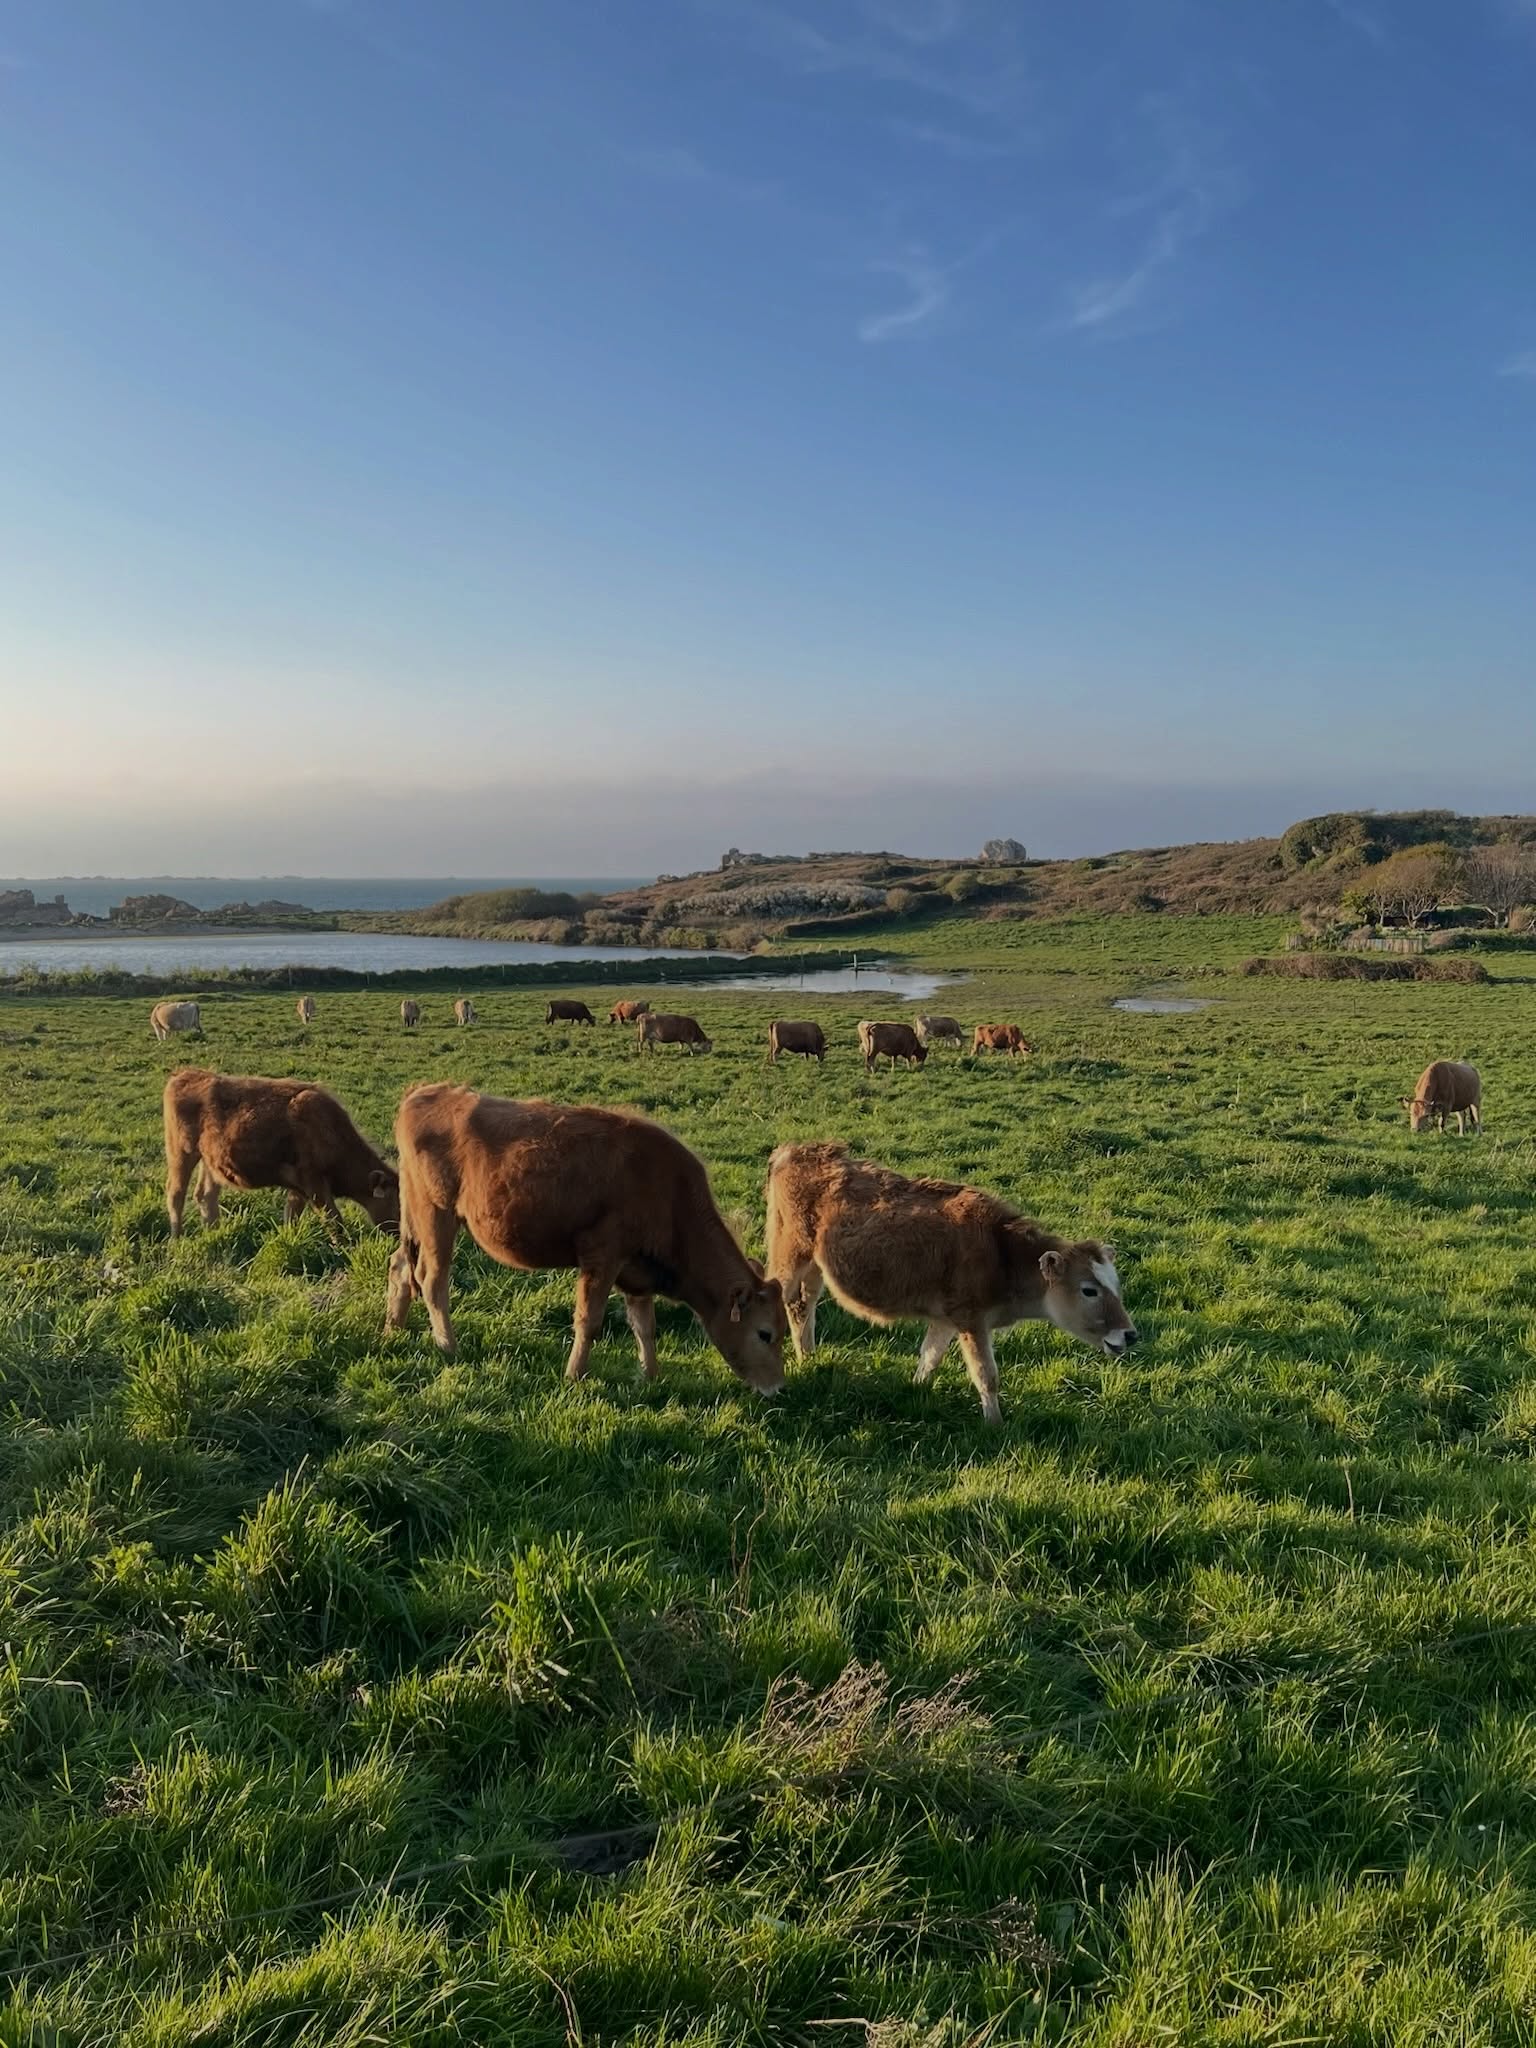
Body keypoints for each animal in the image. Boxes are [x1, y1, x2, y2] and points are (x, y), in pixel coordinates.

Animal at [163, 1069, 399, 1240]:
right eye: (399, 1203)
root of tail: (186, 1074)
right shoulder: (314, 1183)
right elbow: (334, 1220)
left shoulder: (299, 1188)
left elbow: (292, 1217)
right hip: (181, 1153)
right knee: (176, 1193)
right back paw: (176, 1239)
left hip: (210, 1161)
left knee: (206, 1195)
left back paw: (215, 1235)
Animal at [385, 1083, 786, 1392]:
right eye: (765, 1333)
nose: (779, 1388)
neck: (667, 1190)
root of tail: (425, 1092)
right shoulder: (602, 1256)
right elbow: (589, 1320)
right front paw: (575, 1374)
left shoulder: (637, 1273)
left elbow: (645, 1327)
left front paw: (651, 1376)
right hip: (437, 1215)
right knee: (432, 1280)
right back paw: (448, 1346)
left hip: (414, 1217)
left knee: (400, 1265)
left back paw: (394, 1327)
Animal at [765, 1141, 1136, 1425]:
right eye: (1089, 1290)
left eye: (1117, 1286)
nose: (1130, 1334)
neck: (1000, 1252)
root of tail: (796, 1149)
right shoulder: (972, 1320)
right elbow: (986, 1375)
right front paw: (995, 1424)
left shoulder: (945, 1318)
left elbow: (929, 1357)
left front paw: (916, 1389)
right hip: (790, 1252)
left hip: (815, 1265)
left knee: (802, 1305)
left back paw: (809, 1358)